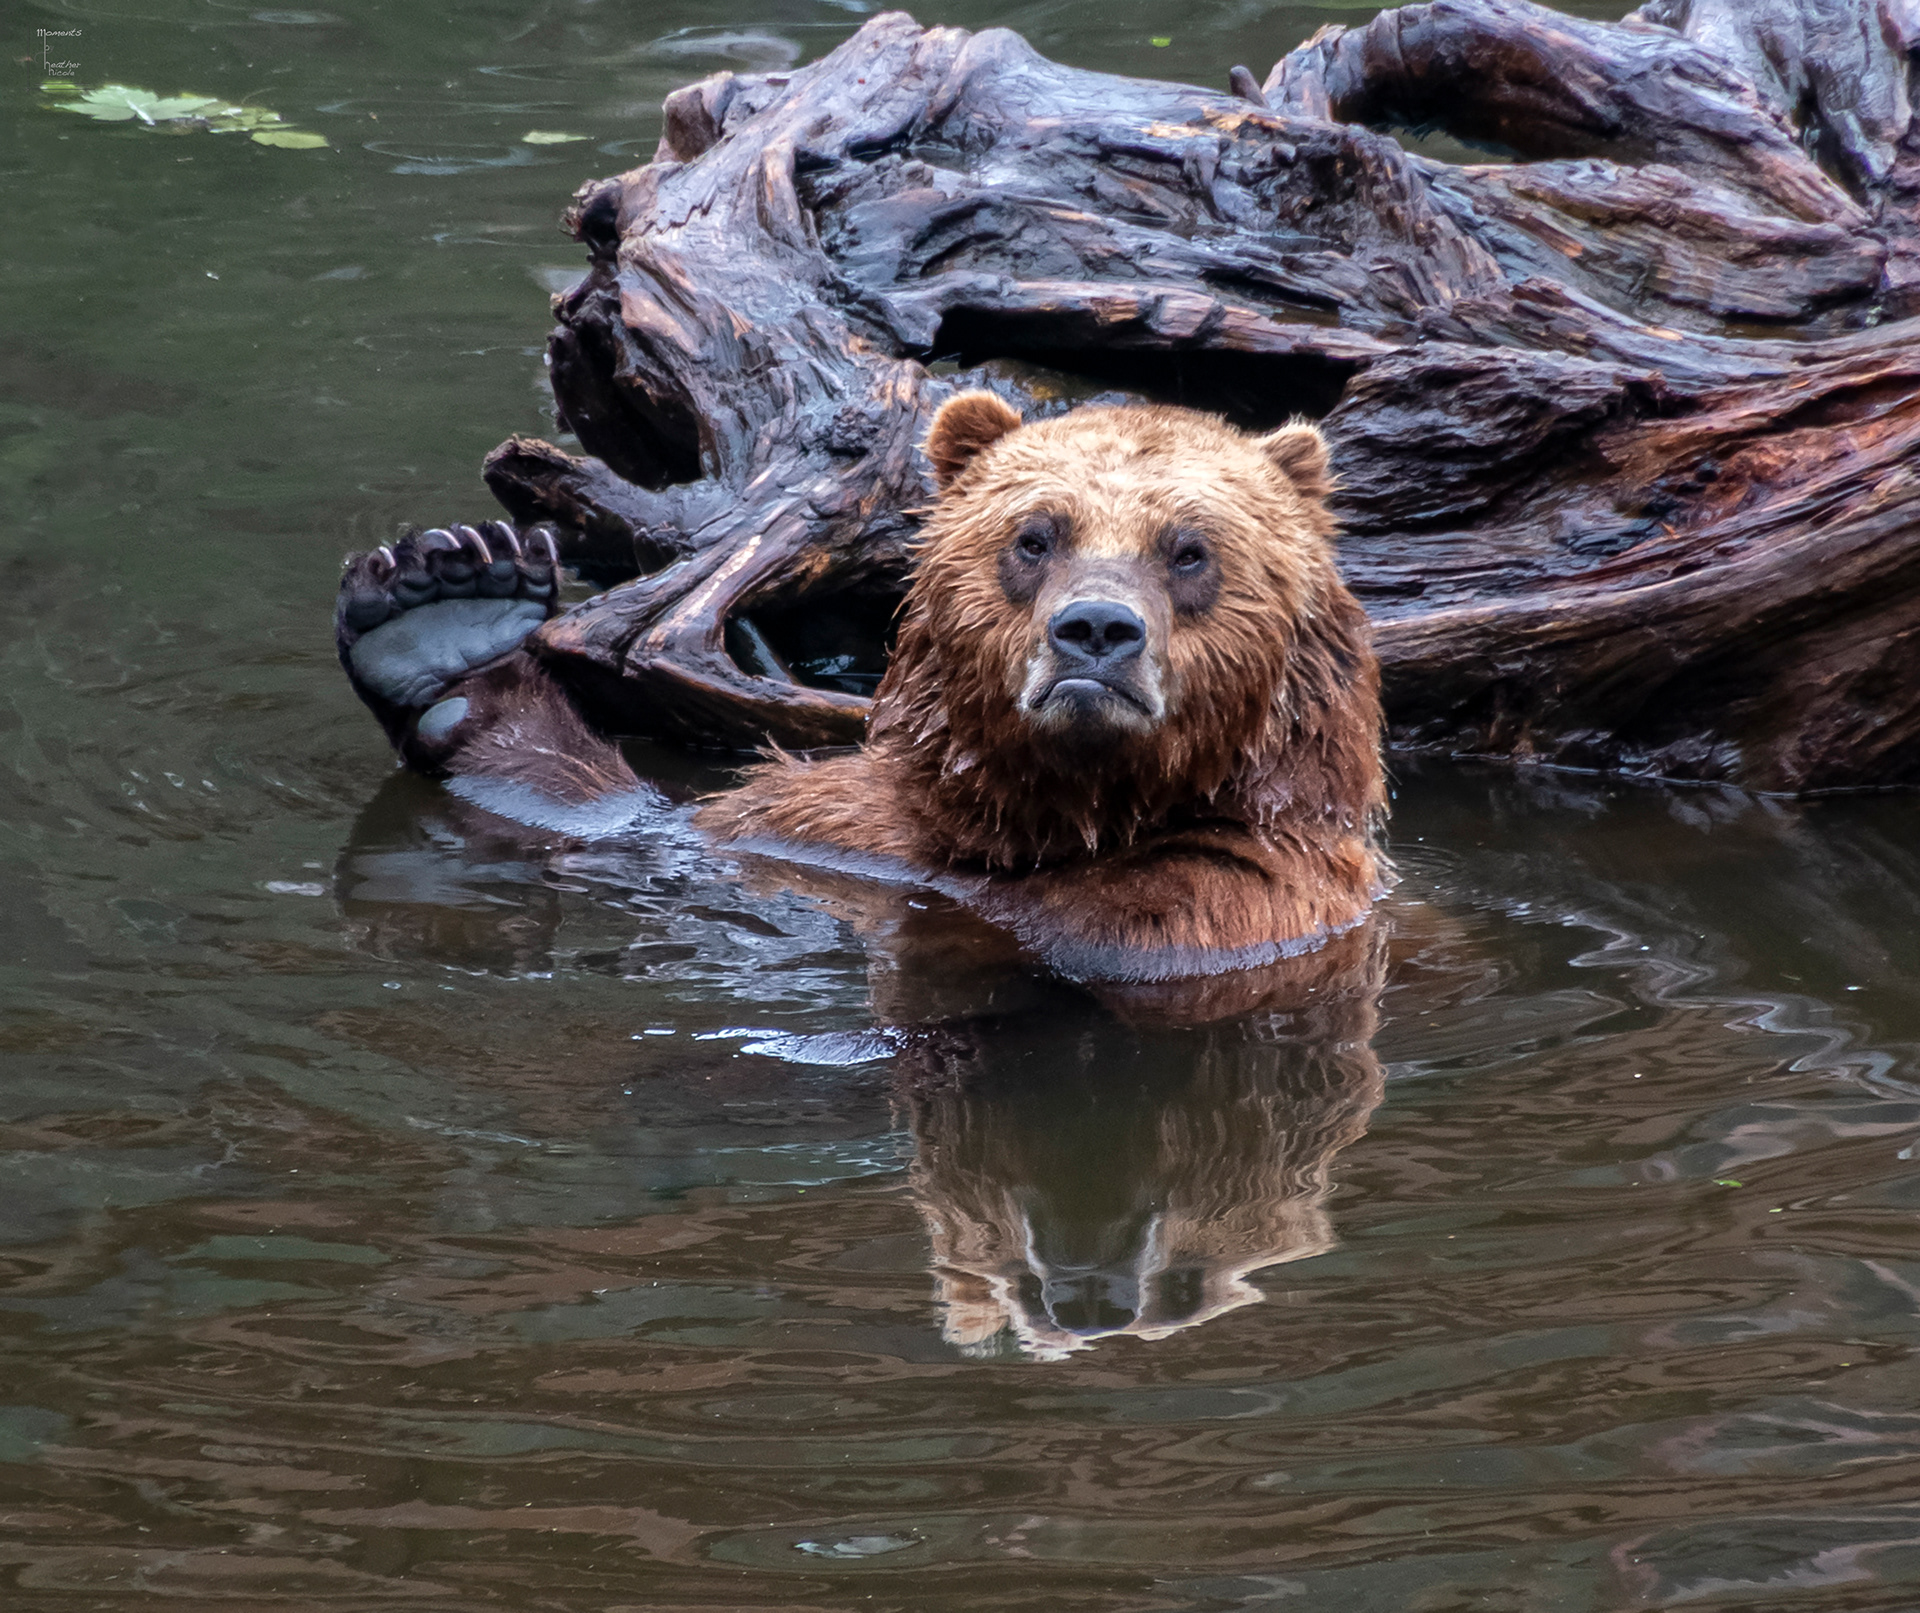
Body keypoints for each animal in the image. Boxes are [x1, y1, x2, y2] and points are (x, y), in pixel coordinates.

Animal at [333, 395, 1389, 982]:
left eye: (1190, 549)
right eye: (1034, 535)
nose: (1096, 630)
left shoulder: (1222, 905)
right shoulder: (815, 823)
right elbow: (620, 813)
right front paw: (445, 595)